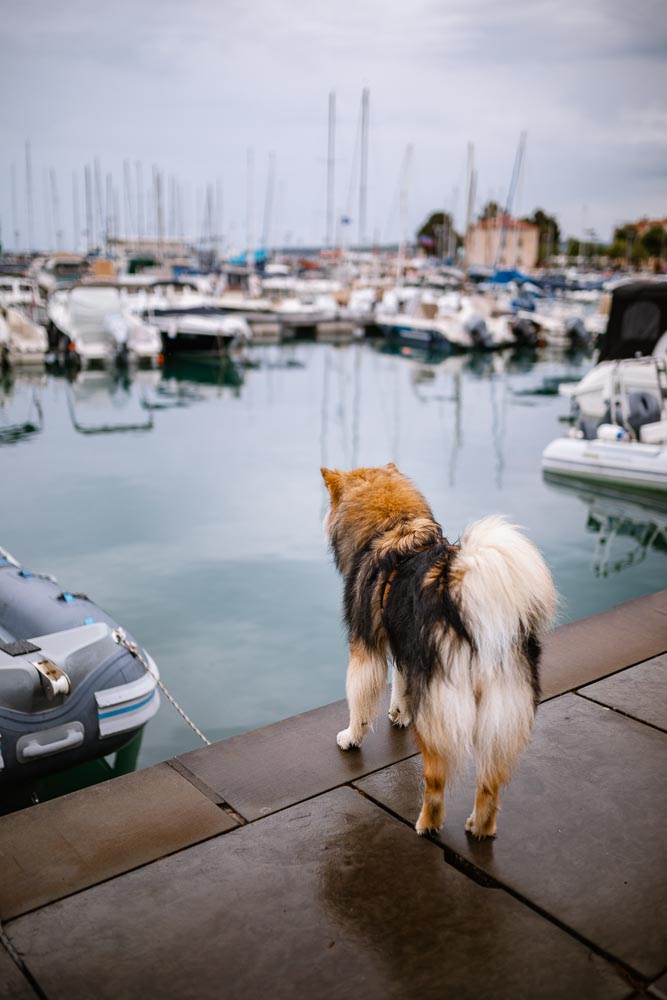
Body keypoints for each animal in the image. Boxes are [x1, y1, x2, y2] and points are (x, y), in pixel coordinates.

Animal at [320, 464, 556, 840]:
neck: (394, 525)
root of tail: (475, 616)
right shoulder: (407, 645)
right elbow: (401, 683)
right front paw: (399, 713)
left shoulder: (365, 648)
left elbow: (359, 699)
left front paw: (351, 737)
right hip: (502, 712)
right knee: (489, 784)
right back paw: (479, 828)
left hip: (439, 714)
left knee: (435, 779)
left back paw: (426, 825)